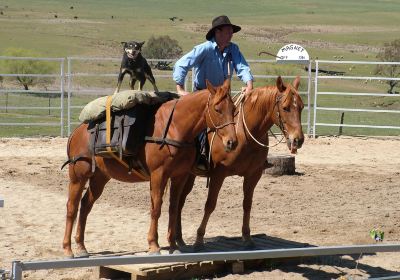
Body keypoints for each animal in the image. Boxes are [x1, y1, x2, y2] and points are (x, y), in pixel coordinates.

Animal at [63, 79, 238, 258]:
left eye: (234, 109)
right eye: (217, 109)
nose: (232, 142)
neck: (174, 128)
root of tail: (76, 132)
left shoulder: (179, 176)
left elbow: (174, 208)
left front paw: (173, 245)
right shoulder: (158, 175)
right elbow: (156, 208)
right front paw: (154, 245)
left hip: (99, 178)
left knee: (85, 205)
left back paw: (81, 246)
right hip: (78, 177)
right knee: (72, 207)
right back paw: (68, 249)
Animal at [177, 76, 304, 249]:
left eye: (302, 107)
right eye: (285, 108)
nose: (298, 139)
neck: (245, 134)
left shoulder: (253, 174)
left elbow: (247, 204)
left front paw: (247, 237)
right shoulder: (218, 175)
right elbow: (210, 205)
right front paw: (199, 239)